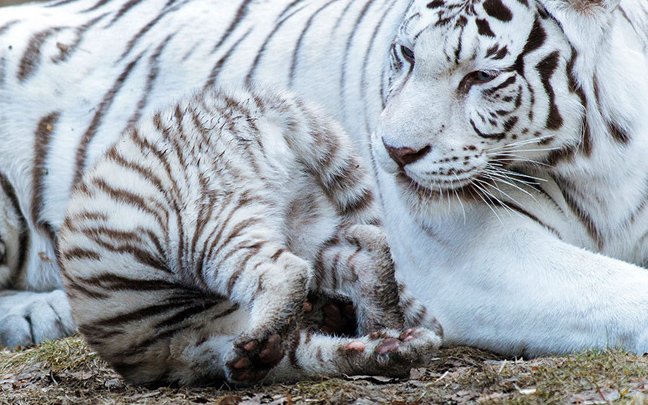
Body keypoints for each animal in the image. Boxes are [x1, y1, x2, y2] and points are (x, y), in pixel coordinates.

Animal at [0, 0, 644, 356]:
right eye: (407, 55)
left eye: (481, 76)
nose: (393, 152)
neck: (598, 157)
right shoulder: (476, 256)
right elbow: (623, 293)